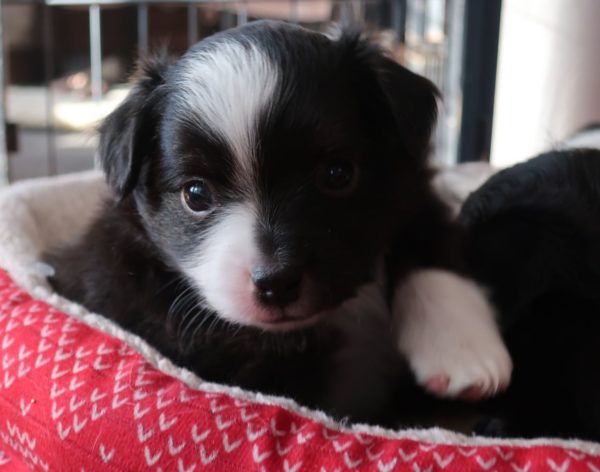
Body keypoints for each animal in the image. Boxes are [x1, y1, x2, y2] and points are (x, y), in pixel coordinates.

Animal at [44, 19, 510, 424]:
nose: (276, 281)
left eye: (337, 173)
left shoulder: (409, 182)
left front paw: (463, 350)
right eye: (195, 194)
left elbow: (428, 240)